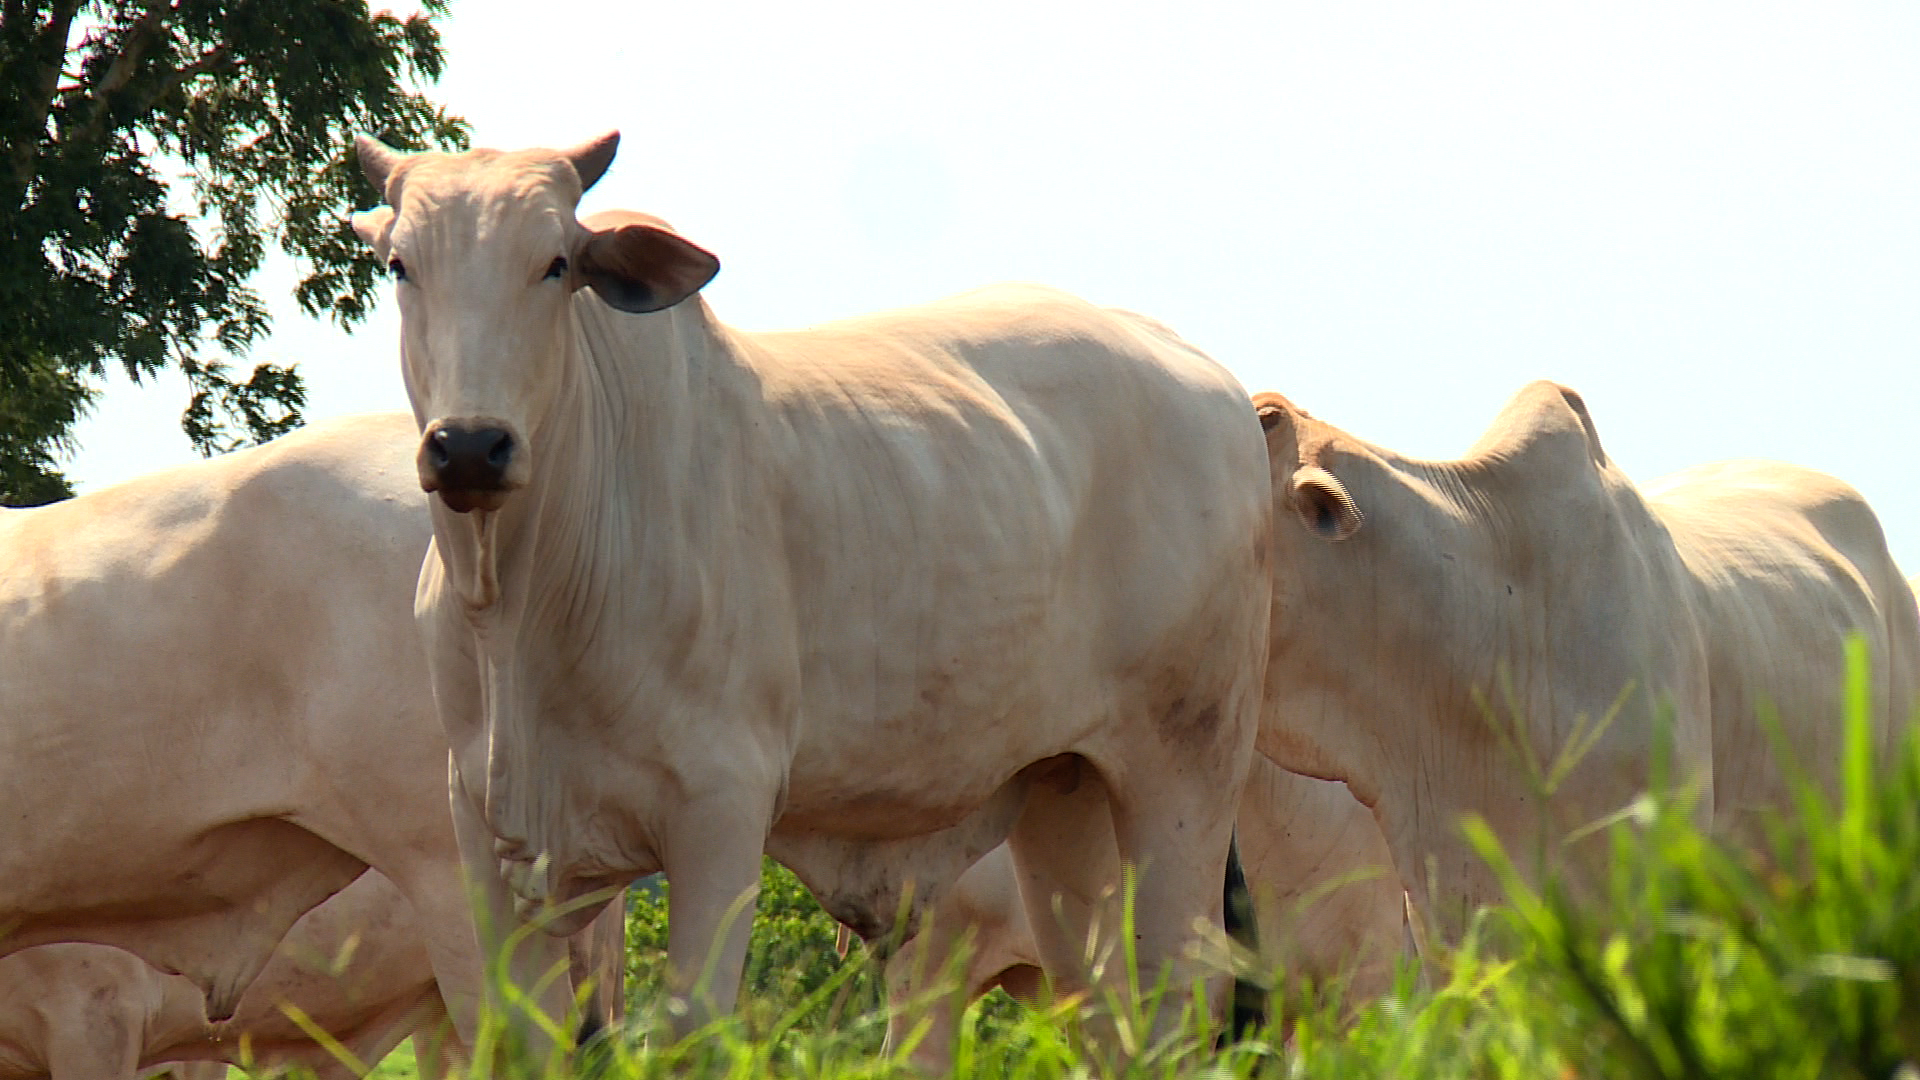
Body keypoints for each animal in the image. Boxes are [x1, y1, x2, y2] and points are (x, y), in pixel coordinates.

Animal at [355, 127, 1274, 1045]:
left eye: (554, 263)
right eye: (400, 264)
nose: (470, 448)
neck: (522, 602)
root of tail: (1216, 385)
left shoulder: (720, 808)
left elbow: (694, 1028)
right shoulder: (482, 832)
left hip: (1188, 767)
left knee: (1181, 991)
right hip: (1064, 786)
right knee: (1102, 1004)